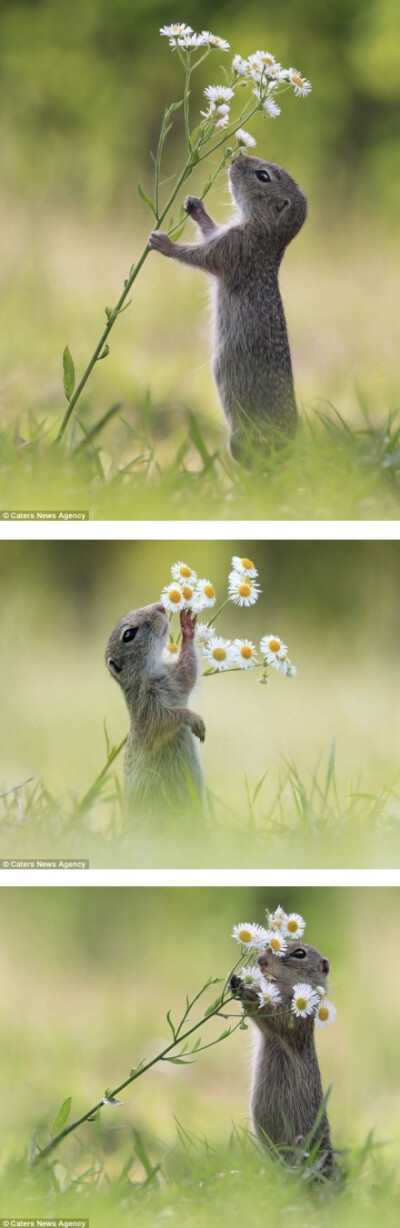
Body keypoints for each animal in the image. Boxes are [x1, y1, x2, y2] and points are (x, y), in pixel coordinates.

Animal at [105, 604, 204, 815]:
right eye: (128, 634)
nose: (160, 606)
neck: (152, 673)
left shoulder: (177, 678)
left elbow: (189, 669)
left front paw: (188, 625)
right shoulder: (147, 710)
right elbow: (165, 720)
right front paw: (194, 720)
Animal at [148, 153, 307, 461]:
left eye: (263, 176)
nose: (236, 157)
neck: (267, 234)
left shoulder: (234, 247)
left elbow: (201, 256)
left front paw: (165, 243)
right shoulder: (226, 237)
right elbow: (209, 231)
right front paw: (196, 207)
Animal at [229, 943, 333, 1173]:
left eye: (300, 953)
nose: (261, 960)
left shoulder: (293, 1019)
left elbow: (274, 1018)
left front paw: (250, 991)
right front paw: (236, 981)